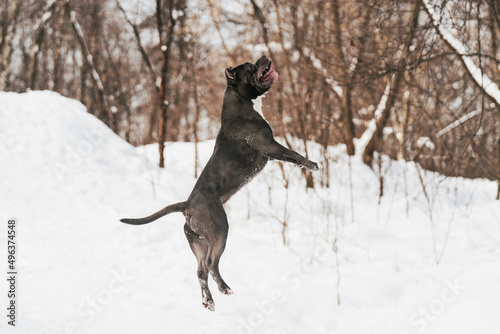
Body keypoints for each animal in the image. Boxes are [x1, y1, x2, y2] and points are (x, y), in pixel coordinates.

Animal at [119, 55, 318, 310]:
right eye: (251, 67)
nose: (262, 56)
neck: (241, 102)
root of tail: (187, 205)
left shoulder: (273, 152)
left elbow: (292, 159)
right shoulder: (270, 146)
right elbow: (294, 153)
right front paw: (311, 164)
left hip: (198, 242)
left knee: (201, 270)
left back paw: (209, 300)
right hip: (219, 231)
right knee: (212, 264)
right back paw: (223, 289)